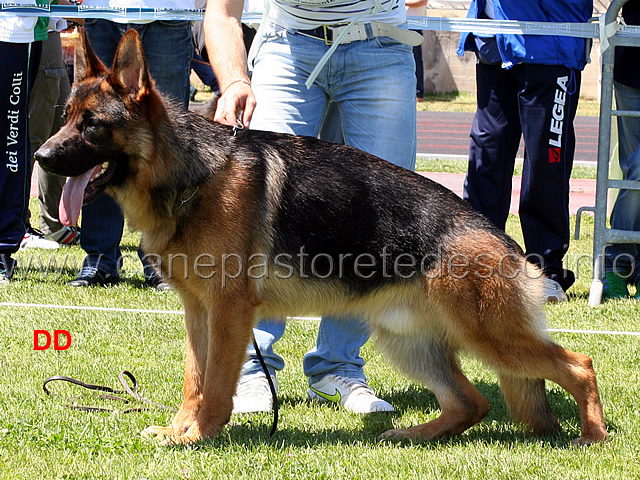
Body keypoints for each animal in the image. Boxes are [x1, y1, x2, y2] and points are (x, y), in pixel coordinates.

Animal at [33, 30, 604, 446]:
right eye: (66, 119)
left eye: (91, 126)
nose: (40, 156)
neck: (192, 177)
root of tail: (496, 236)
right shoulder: (198, 312)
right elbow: (194, 381)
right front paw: (179, 429)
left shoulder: (230, 311)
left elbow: (215, 386)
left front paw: (198, 437)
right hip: (409, 342)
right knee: (472, 402)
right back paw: (410, 435)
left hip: (489, 336)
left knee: (579, 365)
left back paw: (592, 438)